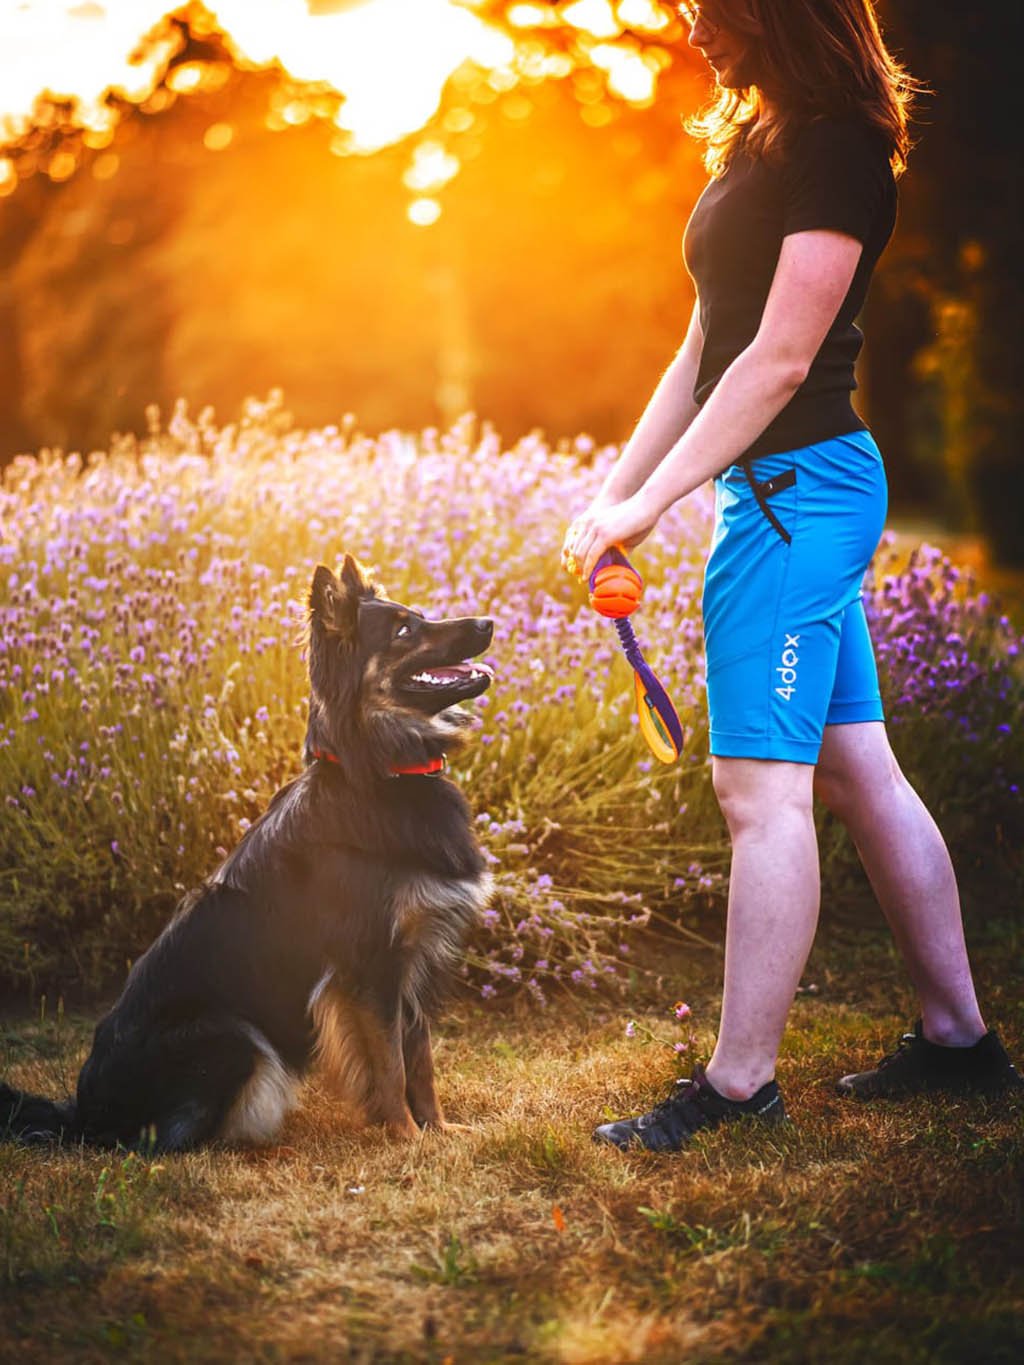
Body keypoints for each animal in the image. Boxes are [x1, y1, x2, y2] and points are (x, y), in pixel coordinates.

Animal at [0, 554, 496, 1152]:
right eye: (403, 631)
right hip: (233, 1036)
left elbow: (419, 1060)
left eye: (419, 616)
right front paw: (405, 1136)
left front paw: (439, 1129)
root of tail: (84, 1115)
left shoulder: (411, 962)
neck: (383, 770)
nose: (489, 624)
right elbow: (391, 1065)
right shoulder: (369, 967)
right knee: (168, 1142)